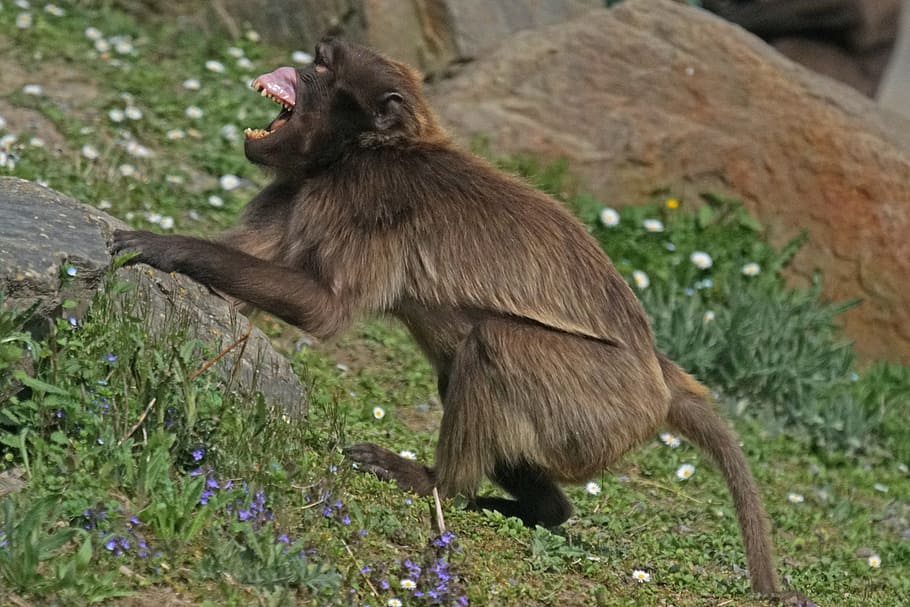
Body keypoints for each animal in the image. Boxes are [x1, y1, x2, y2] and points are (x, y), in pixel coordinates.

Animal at [111, 38, 779, 595]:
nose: (301, 63)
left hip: (595, 404)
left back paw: (439, 487)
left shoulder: (364, 202)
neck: (360, 151)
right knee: (460, 375)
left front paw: (164, 247)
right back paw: (537, 512)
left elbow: (323, 309)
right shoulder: (301, 190)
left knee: (493, 344)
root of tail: (659, 377)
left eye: (324, 70)